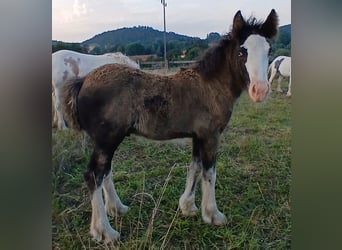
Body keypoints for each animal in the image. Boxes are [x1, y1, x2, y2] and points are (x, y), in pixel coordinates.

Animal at [60, 9, 280, 242]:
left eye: (269, 50)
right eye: (241, 52)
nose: (260, 90)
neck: (211, 85)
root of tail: (82, 81)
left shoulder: (198, 135)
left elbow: (195, 167)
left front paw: (188, 207)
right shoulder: (211, 135)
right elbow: (210, 172)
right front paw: (213, 215)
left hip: (107, 140)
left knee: (105, 172)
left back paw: (117, 208)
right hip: (107, 138)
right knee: (93, 175)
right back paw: (104, 231)